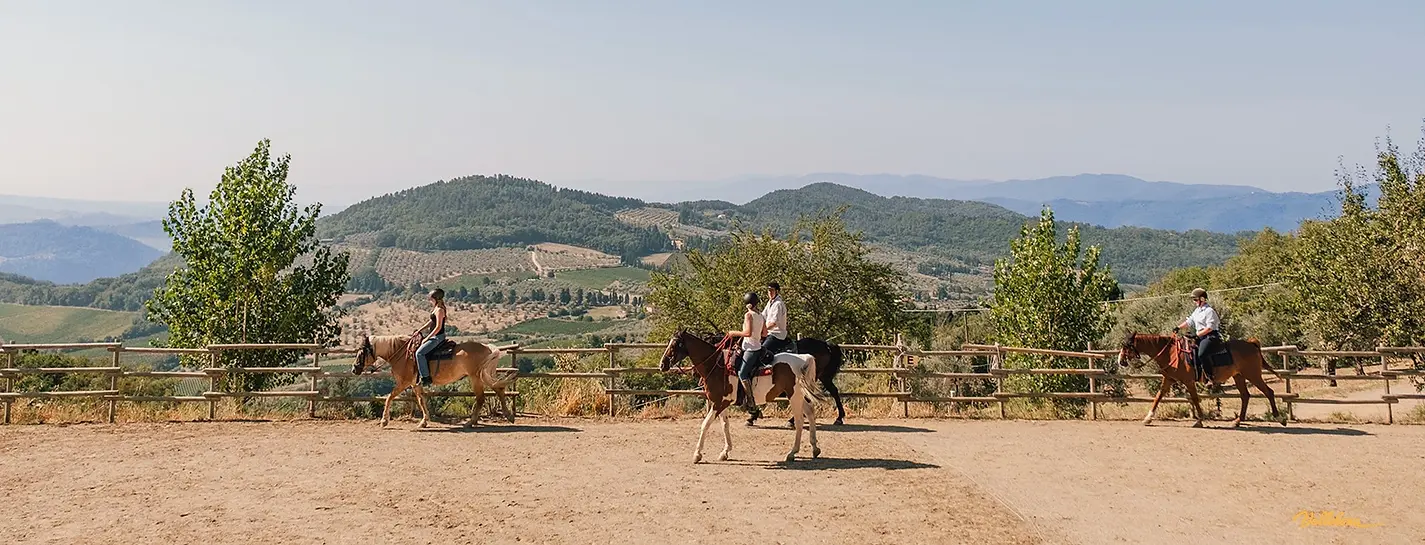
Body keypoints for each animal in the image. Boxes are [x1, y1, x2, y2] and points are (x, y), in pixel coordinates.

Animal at [352, 333, 515, 429]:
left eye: (361, 351)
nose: (354, 369)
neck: (402, 354)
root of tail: (487, 347)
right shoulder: (415, 384)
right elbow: (421, 400)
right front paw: (424, 421)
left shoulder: (404, 383)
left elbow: (389, 398)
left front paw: (384, 421)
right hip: (482, 376)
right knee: (498, 389)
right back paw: (508, 416)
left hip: (476, 377)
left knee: (481, 397)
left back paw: (471, 422)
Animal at [661, 330, 821, 463]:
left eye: (675, 344)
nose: (662, 364)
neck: (717, 366)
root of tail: (803, 359)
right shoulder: (723, 402)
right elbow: (725, 425)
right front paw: (725, 452)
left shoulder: (718, 403)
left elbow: (705, 425)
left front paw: (697, 455)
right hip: (799, 396)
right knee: (810, 413)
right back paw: (815, 448)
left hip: (794, 396)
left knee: (800, 421)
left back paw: (792, 453)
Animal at [1117, 332, 1285, 428]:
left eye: (1126, 346)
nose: (1120, 361)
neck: (1171, 353)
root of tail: (1251, 344)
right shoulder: (1169, 380)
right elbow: (1158, 397)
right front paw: (1148, 418)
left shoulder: (1189, 382)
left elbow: (1195, 399)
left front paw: (1200, 420)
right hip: (1239, 376)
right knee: (1245, 395)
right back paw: (1237, 421)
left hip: (1253, 374)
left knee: (1268, 392)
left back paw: (1280, 418)